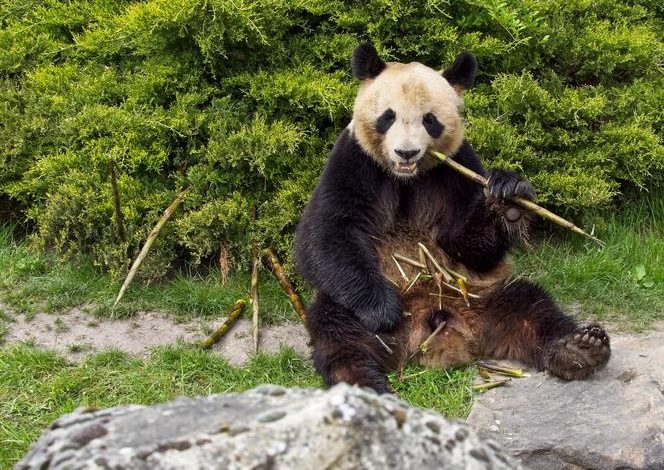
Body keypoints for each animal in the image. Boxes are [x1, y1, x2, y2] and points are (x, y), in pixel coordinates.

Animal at [294, 43, 611, 394]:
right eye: (388, 117)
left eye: (429, 120)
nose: (407, 153)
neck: (407, 178)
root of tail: (433, 327)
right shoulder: (354, 161)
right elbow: (326, 234)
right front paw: (384, 309)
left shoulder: (457, 167)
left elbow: (467, 244)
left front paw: (508, 198)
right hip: (349, 311)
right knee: (339, 335)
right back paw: (363, 386)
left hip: (482, 295)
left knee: (532, 308)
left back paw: (580, 349)